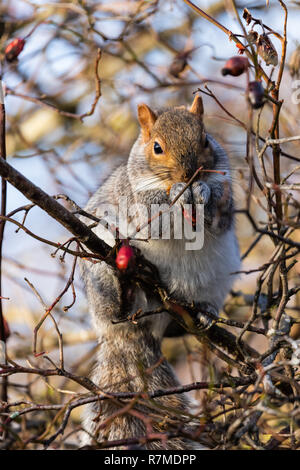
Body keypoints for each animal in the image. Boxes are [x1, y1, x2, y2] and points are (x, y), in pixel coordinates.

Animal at [78, 94, 240, 448]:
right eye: (156, 147)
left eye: (205, 140)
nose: (190, 174)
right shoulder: (134, 198)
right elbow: (154, 211)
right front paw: (177, 193)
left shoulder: (224, 191)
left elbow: (220, 208)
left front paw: (204, 193)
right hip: (100, 275)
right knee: (117, 310)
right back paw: (125, 290)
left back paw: (203, 312)